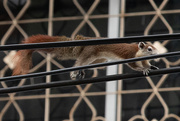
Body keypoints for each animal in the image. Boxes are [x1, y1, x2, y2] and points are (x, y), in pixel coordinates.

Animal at [11, 34, 158, 79]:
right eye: (149, 49)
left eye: (155, 48)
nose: (157, 54)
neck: (138, 51)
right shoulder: (130, 55)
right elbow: (133, 65)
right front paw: (143, 69)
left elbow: (146, 63)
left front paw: (151, 67)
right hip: (90, 53)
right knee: (79, 62)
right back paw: (74, 72)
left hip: (99, 59)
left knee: (85, 64)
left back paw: (81, 71)